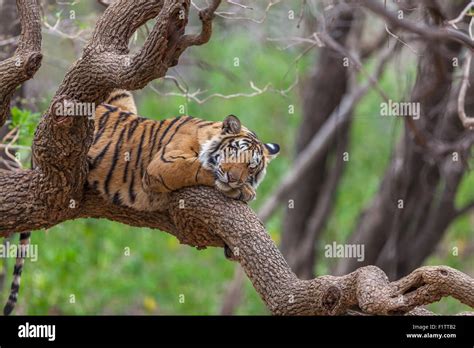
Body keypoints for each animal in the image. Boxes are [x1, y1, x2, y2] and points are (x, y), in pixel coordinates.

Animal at [2, 88, 278, 314]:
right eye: (235, 152)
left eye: (252, 166)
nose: (234, 178)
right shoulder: (162, 165)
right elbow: (201, 169)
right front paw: (242, 191)